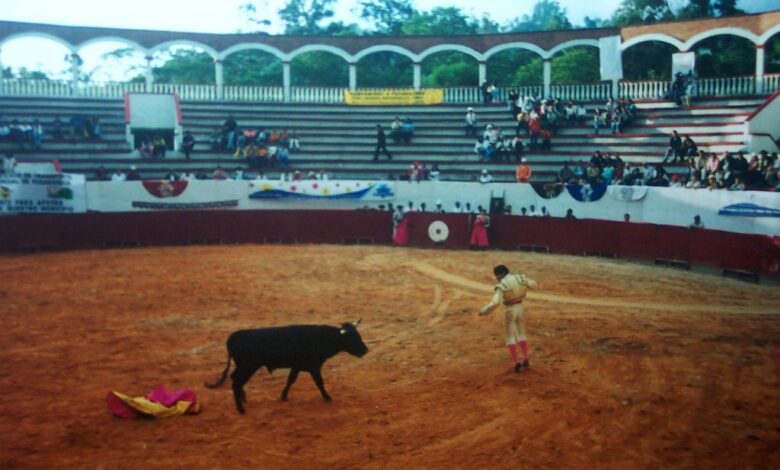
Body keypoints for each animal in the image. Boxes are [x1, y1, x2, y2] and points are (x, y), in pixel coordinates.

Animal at [206, 322, 368, 414]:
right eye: (352, 337)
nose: (365, 350)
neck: (320, 338)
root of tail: (233, 336)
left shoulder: (297, 366)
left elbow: (291, 380)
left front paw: (283, 395)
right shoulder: (314, 366)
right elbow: (319, 382)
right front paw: (327, 397)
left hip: (243, 366)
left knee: (235, 379)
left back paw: (243, 398)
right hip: (248, 366)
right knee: (236, 383)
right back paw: (240, 409)